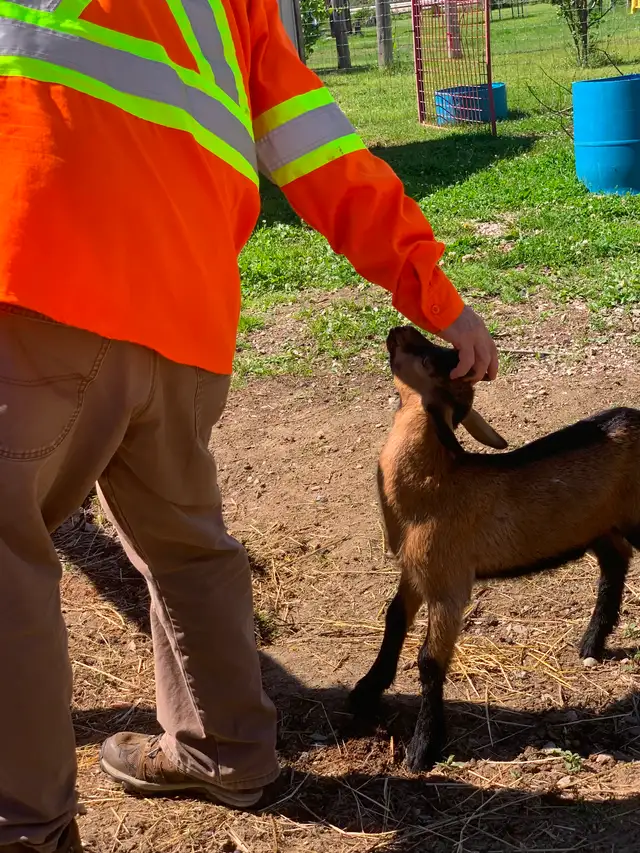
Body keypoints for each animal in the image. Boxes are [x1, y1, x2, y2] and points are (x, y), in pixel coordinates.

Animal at [349, 324, 640, 772]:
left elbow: (430, 661)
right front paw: (365, 691)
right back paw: (592, 643)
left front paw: (423, 748)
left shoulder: (448, 583)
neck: (435, 486)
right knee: (616, 561)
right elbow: (394, 619)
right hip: (598, 525)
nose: (400, 329)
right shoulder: (415, 571)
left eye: (431, 358)